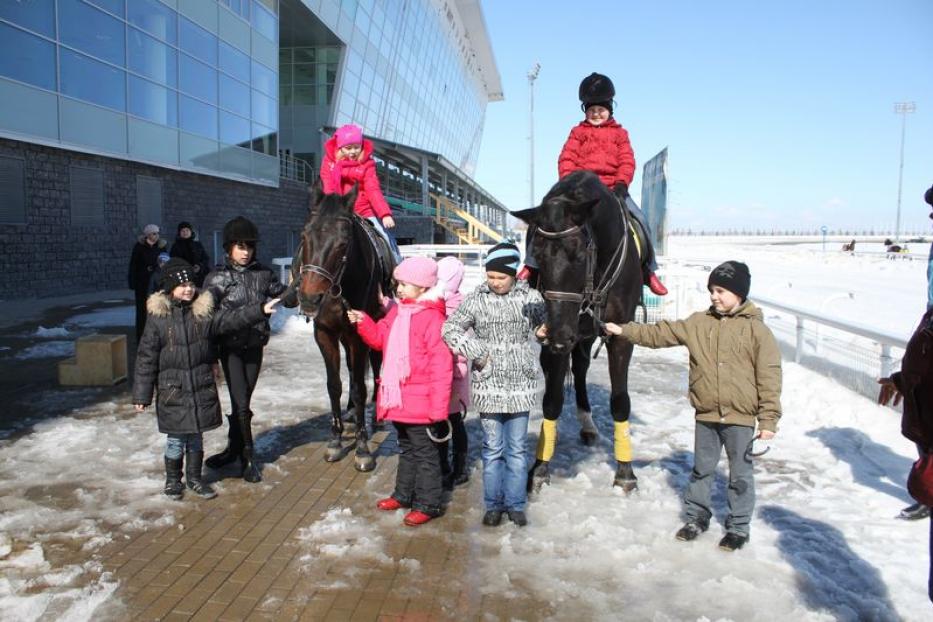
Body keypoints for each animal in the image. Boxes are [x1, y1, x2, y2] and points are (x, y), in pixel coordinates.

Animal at [294, 184, 392, 472]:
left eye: (343, 243)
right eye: (304, 236)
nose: (309, 298)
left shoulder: (359, 334)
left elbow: (360, 388)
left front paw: (362, 447)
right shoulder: (324, 334)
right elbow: (334, 385)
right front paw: (335, 440)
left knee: (375, 366)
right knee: (350, 370)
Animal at [512, 171, 644, 492]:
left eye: (580, 254)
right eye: (536, 255)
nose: (561, 334)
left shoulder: (620, 336)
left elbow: (620, 402)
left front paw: (625, 471)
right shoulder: (554, 335)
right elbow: (552, 400)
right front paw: (540, 467)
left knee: (582, 366)